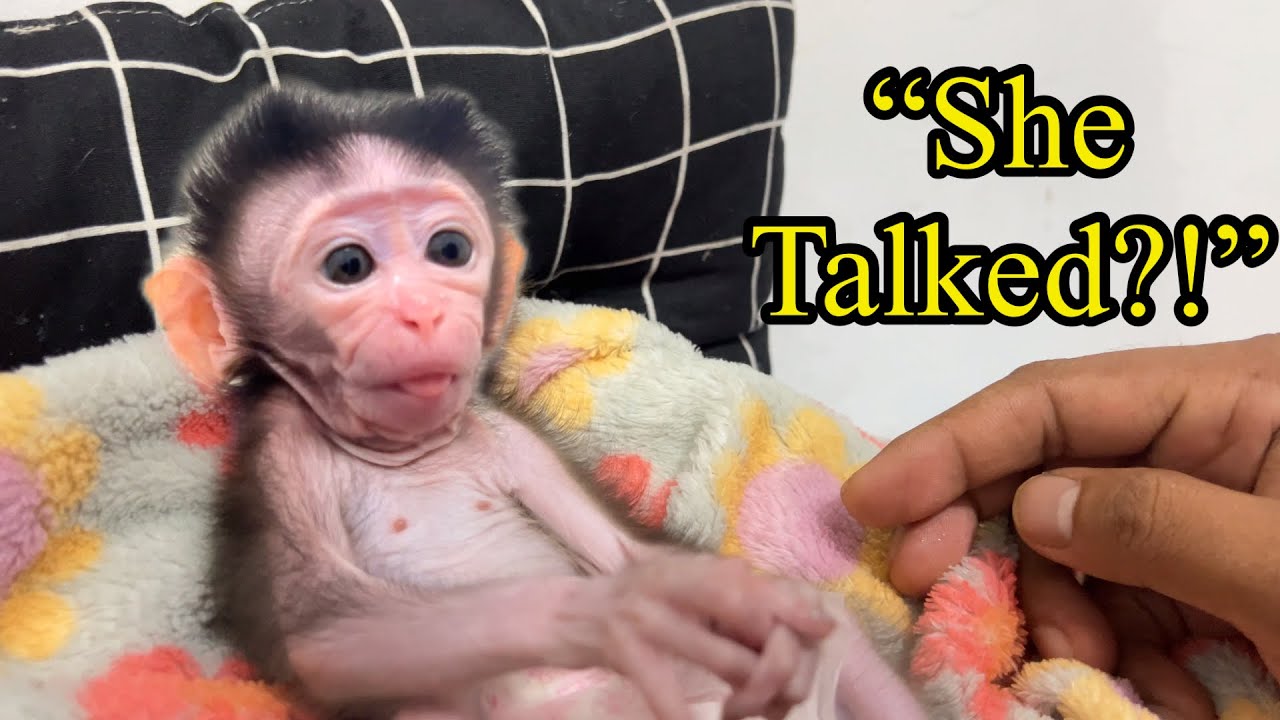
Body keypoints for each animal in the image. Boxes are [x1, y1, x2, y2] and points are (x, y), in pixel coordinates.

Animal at [143, 81, 930, 720]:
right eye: (348, 266)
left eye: (449, 251)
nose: (424, 313)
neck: (406, 455)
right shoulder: (281, 453)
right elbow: (325, 639)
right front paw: (617, 614)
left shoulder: (508, 439)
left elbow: (629, 552)